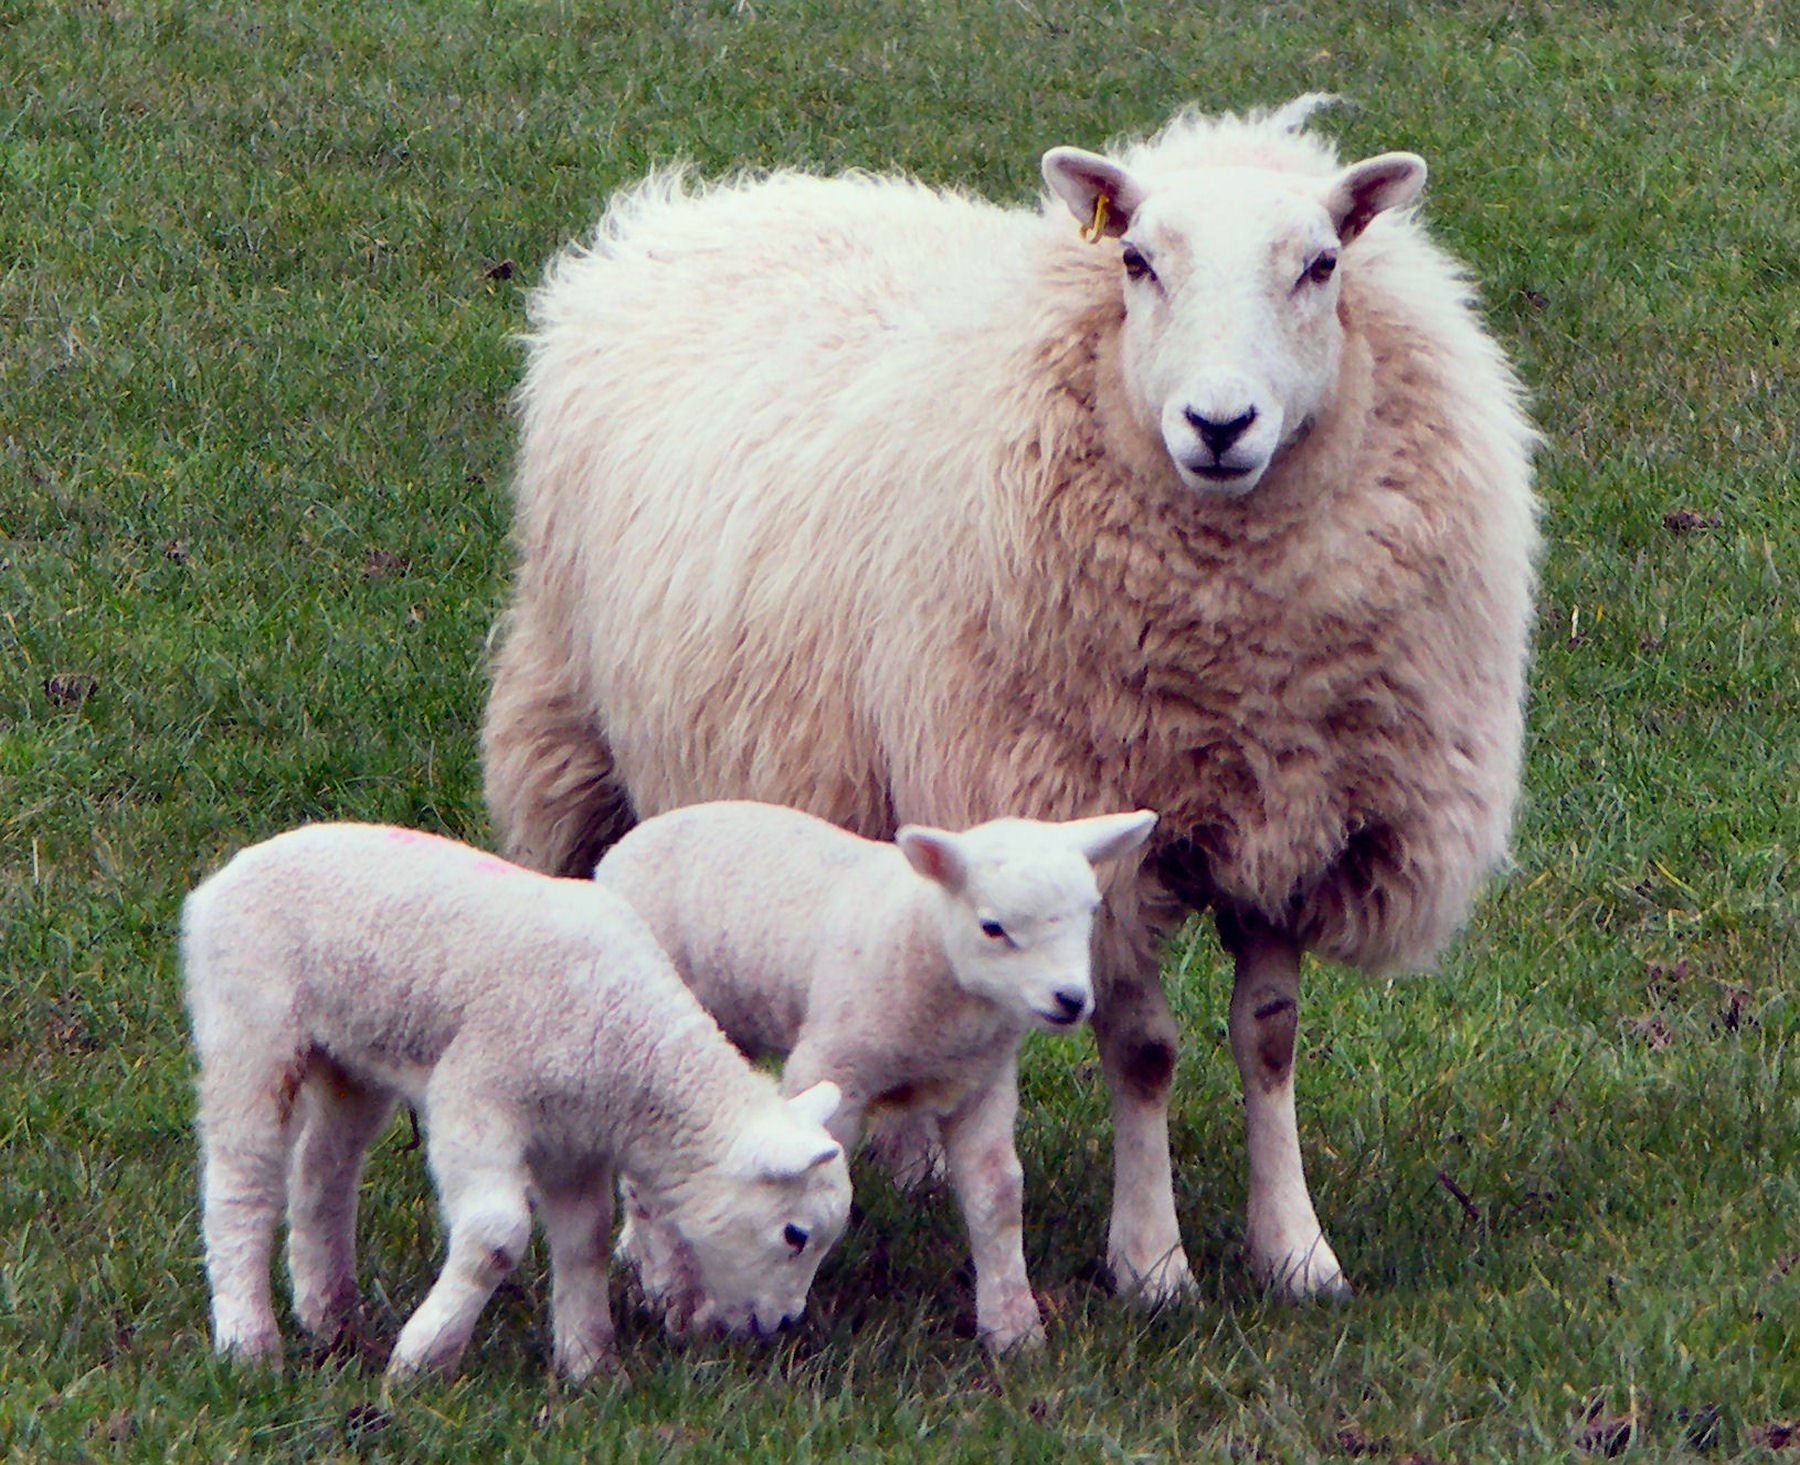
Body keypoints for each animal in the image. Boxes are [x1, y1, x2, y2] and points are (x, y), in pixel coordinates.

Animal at [182, 823, 853, 1380]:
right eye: (795, 1235)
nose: (783, 1322)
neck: (633, 1046)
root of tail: (219, 882)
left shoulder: (576, 1141)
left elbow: (585, 1241)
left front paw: (590, 1364)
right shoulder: (476, 1093)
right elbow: (495, 1236)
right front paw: (423, 1358)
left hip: (348, 1057)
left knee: (324, 1172)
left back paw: (329, 1313)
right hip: (251, 1020)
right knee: (243, 1180)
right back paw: (248, 1341)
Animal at [594, 800, 1157, 1351]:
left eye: (1091, 914)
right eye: (993, 928)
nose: (1071, 999)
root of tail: (626, 845)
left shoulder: (983, 1083)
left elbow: (997, 1193)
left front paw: (1013, 1328)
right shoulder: (831, 1065)